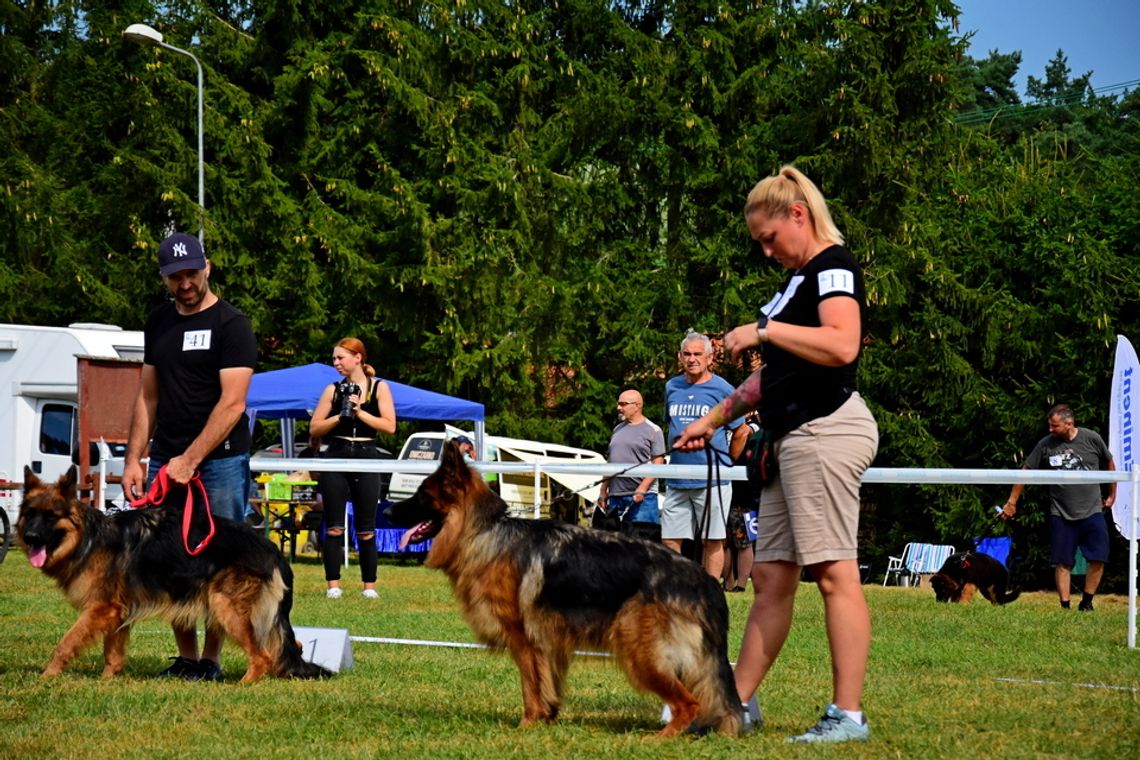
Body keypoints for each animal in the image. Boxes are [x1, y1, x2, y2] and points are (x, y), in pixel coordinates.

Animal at [16, 467, 330, 679]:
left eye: (51, 517)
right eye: (30, 514)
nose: (30, 537)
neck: (89, 538)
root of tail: (273, 549)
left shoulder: (100, 608)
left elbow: (67, 641)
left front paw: (48, 675)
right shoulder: (117, 611)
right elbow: (112, 652)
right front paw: (108, 680)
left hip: (225, 606)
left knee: (263, 657)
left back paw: (242, 685)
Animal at [385, 439, 738, 738]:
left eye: (422, 495)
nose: (386, 511)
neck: (484, 532)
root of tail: (704, 580)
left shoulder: (524, 641)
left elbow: (530, 686)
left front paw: (527, 725)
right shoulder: (548, 644)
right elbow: (547, 685)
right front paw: (547, 717)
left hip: (640, 650)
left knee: (690, 703)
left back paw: (661, 737)